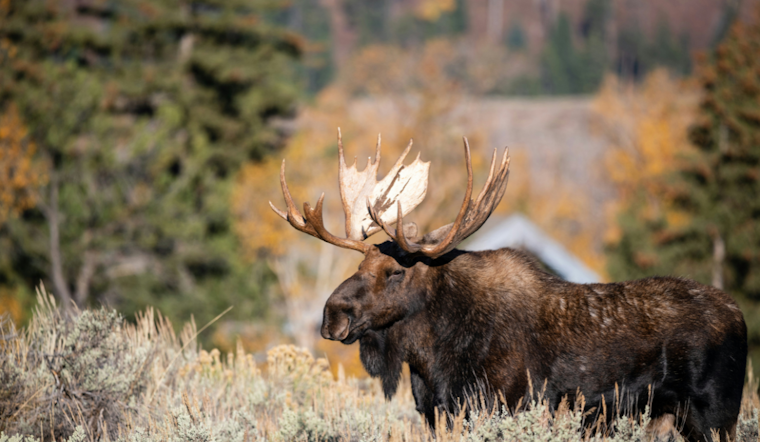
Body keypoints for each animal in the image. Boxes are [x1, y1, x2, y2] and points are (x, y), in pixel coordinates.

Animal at [270, 130, 747, 442]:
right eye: (360, 262)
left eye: (395, 271)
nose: (332, 315)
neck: (432, 357)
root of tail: (739, 315)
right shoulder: (437, 413)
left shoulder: (505, 405)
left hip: (714, 413)